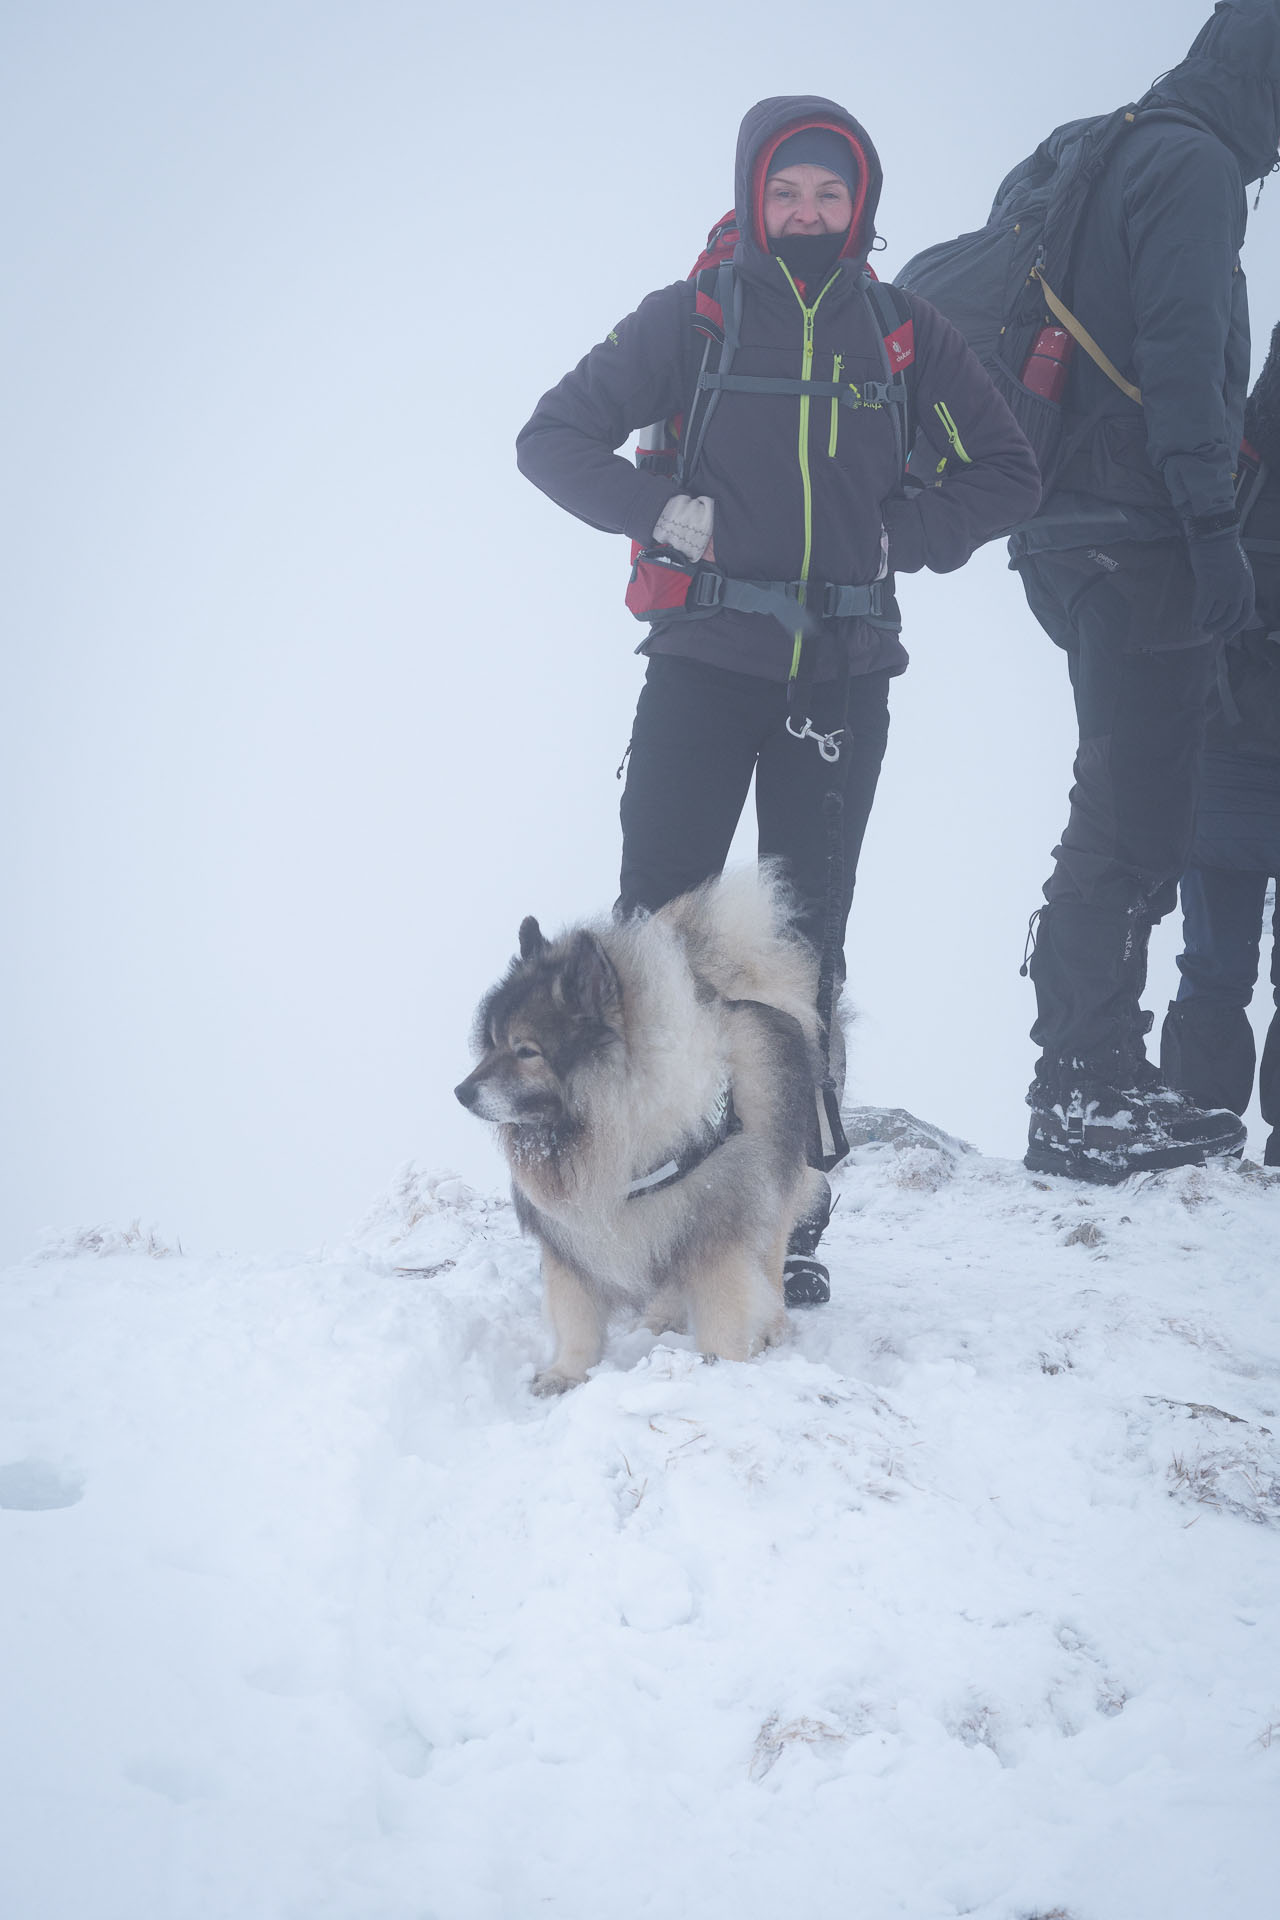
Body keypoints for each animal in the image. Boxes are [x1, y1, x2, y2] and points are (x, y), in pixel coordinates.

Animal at [454, 875, 825, 1397]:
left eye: (526, 1050)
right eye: (489, 1043)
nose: (461, 1092)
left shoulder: (716, 1231)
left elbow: (725, 1311)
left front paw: (723, 1370)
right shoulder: (576, 1245)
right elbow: (577, 1319)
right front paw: (567, 1374)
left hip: (768, 1200)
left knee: (770, 1265)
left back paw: (770, 1325)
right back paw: (661, 1320)